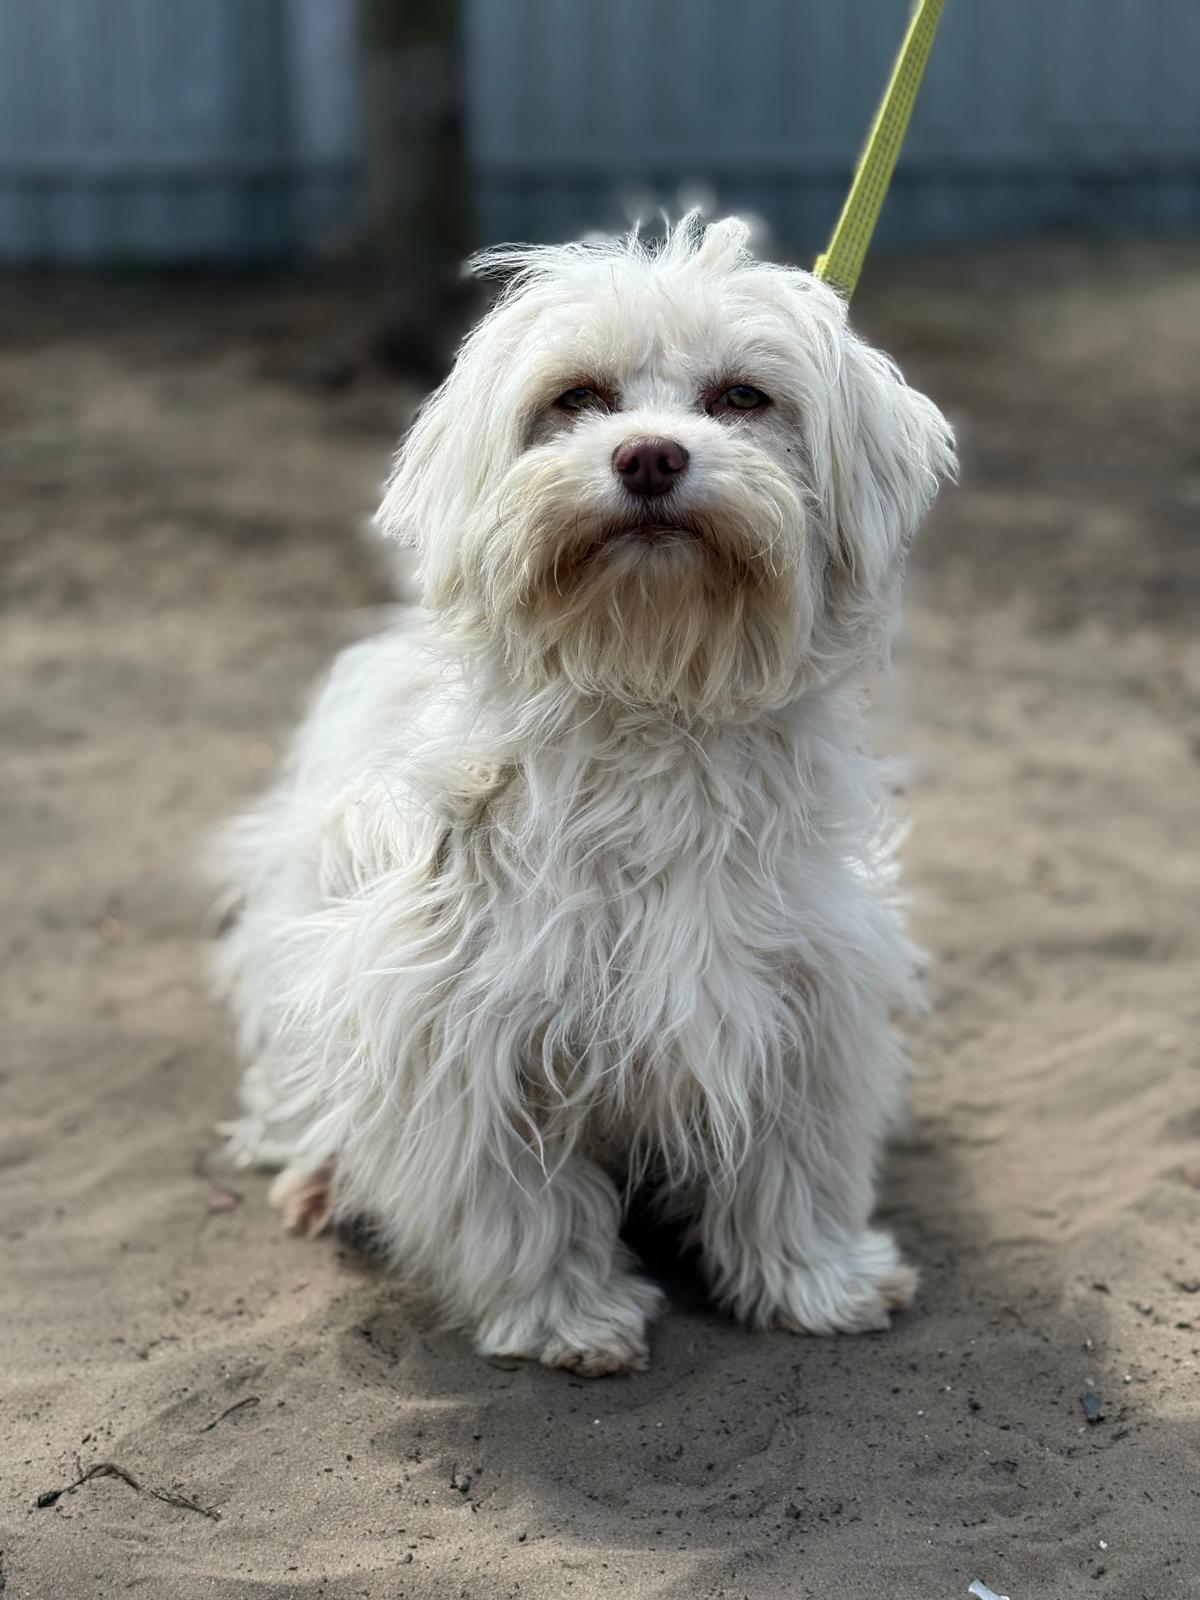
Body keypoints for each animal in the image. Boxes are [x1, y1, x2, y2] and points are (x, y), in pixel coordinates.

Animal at [210, 215, 955, 1375]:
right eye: (577, 398)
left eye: (743, 397)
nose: (648, 455)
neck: (652, 701)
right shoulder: (464, 1017)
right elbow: (520, 1197)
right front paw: (567, 1314)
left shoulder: (804, 996)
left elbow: (796, 1162)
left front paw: (818, 1278)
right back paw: (322, 1174)